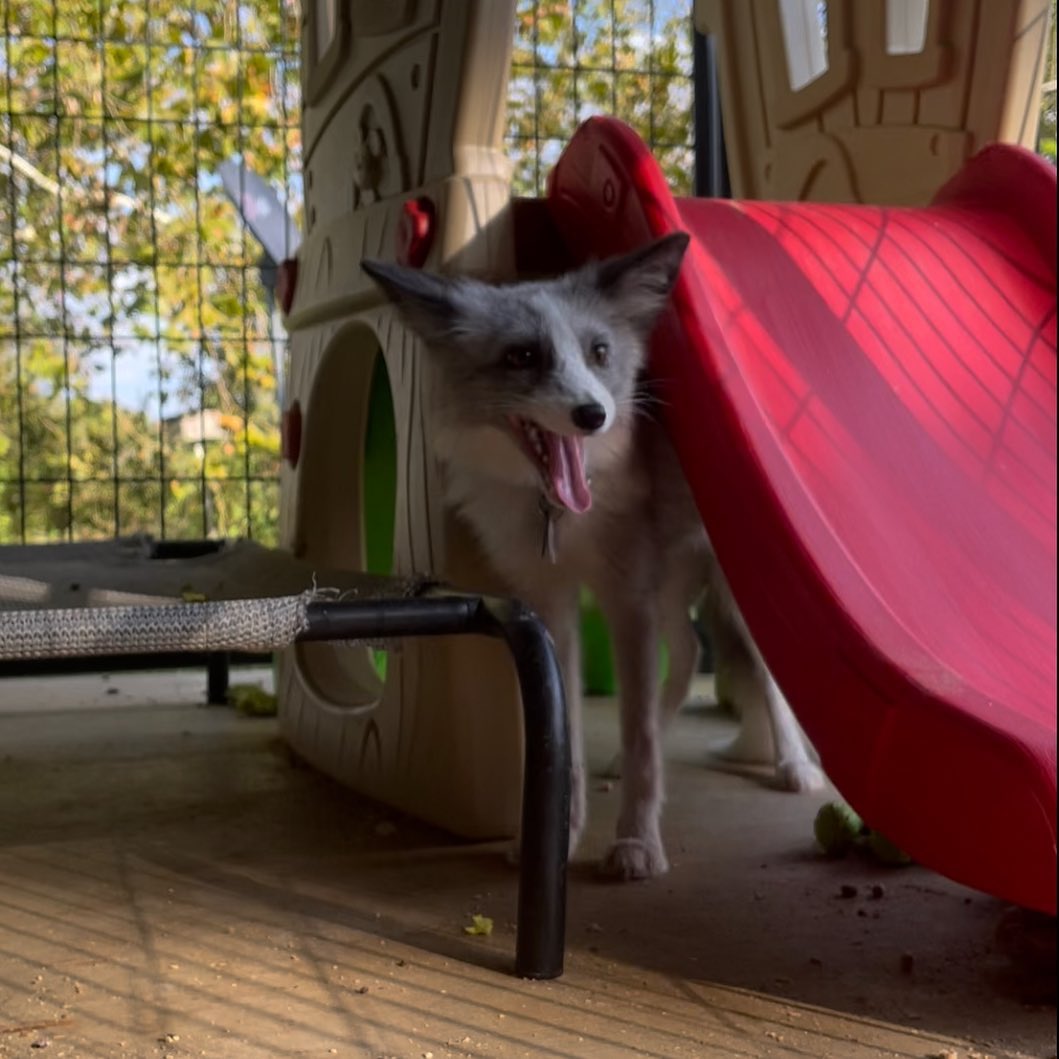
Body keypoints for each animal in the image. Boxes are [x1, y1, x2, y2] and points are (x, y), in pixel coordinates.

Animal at [362, 233, 823, 880]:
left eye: (599, 352)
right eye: (522, 356)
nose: (593, 415)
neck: (560, 519)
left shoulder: (626, 598)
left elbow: (640, 737)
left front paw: (637, 843)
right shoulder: (554, 606)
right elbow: (570, 735)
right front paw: (563, 833)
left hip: (726, 592)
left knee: (762, 673)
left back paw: (795, 766)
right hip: (669, 586)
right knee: (687, 649)